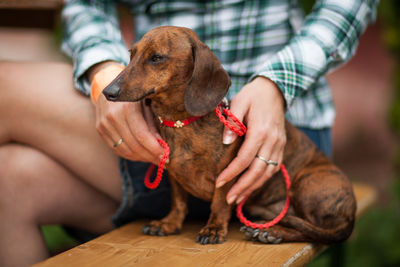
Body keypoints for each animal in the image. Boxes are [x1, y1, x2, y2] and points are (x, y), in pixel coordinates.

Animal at [103, 26, 356, 246]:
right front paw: (169, 223)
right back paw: (270, 232)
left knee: (317, 231)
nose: (107, 92)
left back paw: (272, 232)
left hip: (307, 182)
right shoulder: (174, 175)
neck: (181, 123)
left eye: (156, 57)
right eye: (132, 55)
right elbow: (178, 202)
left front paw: (213, 229)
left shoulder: (227, 173)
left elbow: (220, 202)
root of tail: (350, 217)